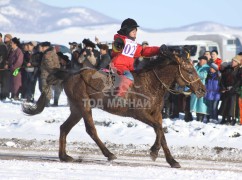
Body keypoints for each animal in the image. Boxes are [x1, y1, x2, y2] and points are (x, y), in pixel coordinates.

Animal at [21, 48, 205, 168]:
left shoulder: (157, 114)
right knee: (91, 130)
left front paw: (171, 160)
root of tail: (70, 74)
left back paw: (64, 156)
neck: (150, 83)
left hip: (76, 109)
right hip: (84, 106)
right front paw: (153, 151)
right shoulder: (140, 113)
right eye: (189, 70)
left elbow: (161, 133)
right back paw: (109, 154)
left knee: (64, 128)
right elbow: (158, 129)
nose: (203, 90)